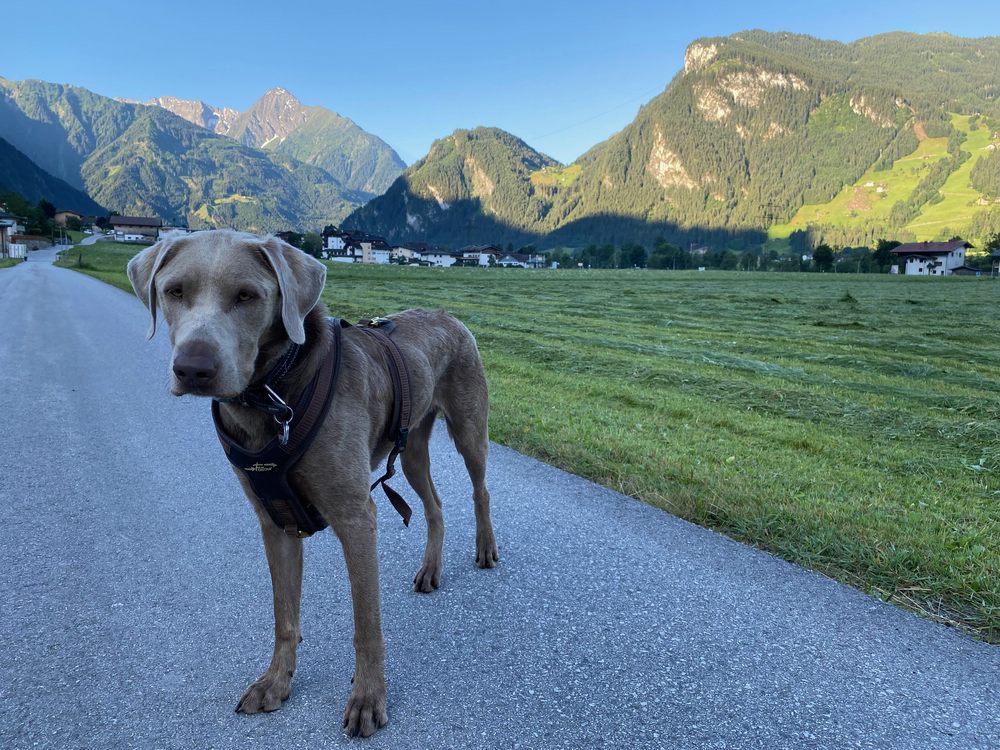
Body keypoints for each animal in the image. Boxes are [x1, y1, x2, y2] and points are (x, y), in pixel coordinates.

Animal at [127, 228, 498, 736]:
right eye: (174, 291)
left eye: (248, 296)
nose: (193, 369)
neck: (273, 396)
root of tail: (448, 314)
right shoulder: (275, 520)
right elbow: (284, 617)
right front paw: (275, 683)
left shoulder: (356, 517)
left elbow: (366, 625)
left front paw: (368, 699)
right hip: (412, 446)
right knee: (435, 504)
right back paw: (430, 570)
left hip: (467, 424)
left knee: (481, 488)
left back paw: (485, 548)